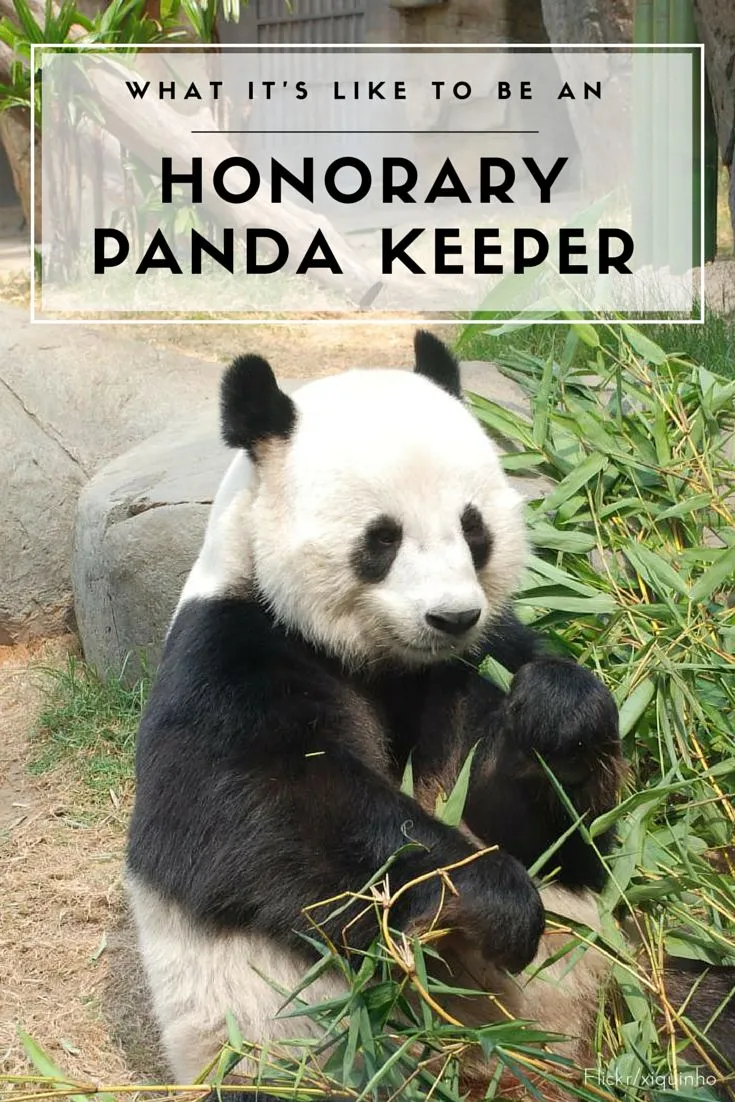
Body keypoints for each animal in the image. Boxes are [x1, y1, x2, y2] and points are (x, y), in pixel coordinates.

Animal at [125, 331, 624, 1100]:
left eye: (472, 527)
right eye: (381, 538)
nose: (450, 616)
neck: (384, 659)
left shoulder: (467, 667)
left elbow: (537, 827)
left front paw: (557, 712)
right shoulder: (231, 655)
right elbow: (268, 810)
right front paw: (495, 900)